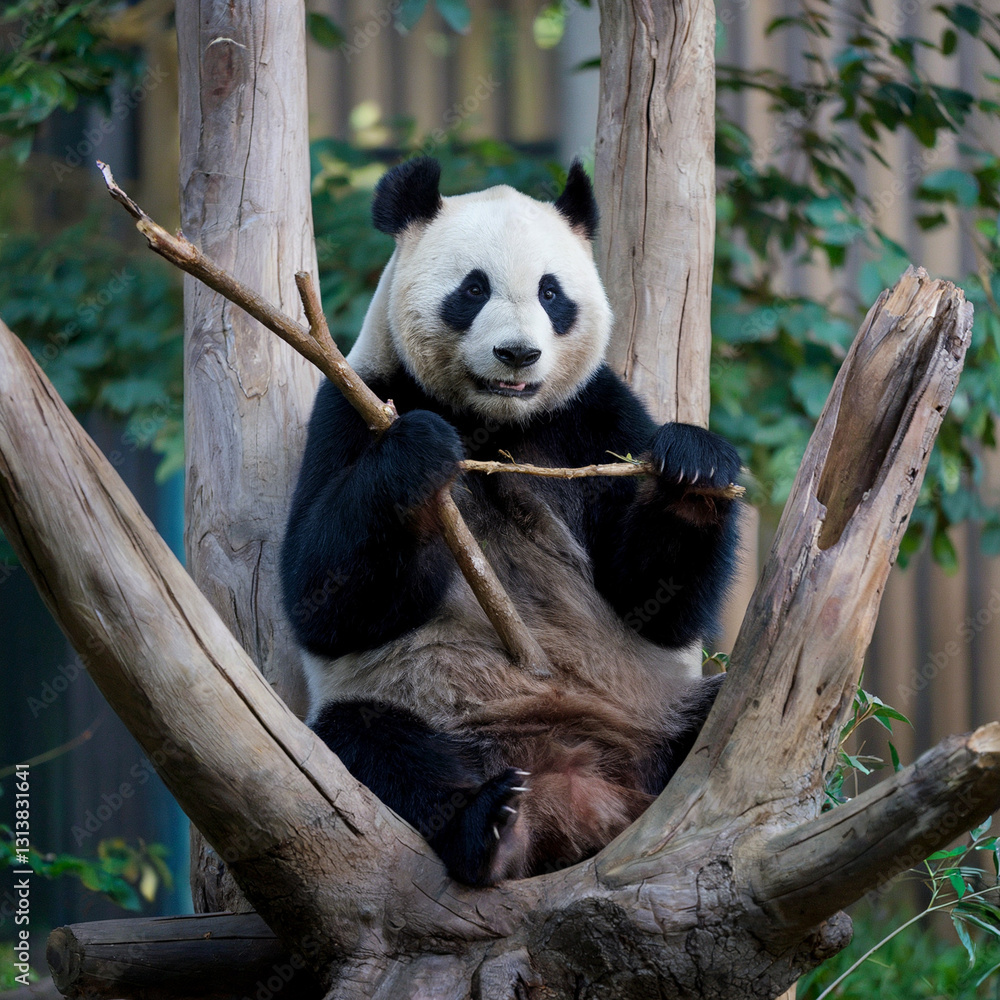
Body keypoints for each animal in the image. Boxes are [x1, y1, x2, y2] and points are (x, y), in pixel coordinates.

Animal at [281, 157, 741, 887]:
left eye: (552, 294)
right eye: (473, 289)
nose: (519, 354)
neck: (495, 422)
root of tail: (579, 792)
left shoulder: (594, 416)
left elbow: (651, 602)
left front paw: (692, 467)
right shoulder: (355, 402)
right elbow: (322, 601)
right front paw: (418, 453)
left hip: (652, 715)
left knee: (716, 717)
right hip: (429, 713)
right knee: (373, 746)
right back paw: (490, 826)